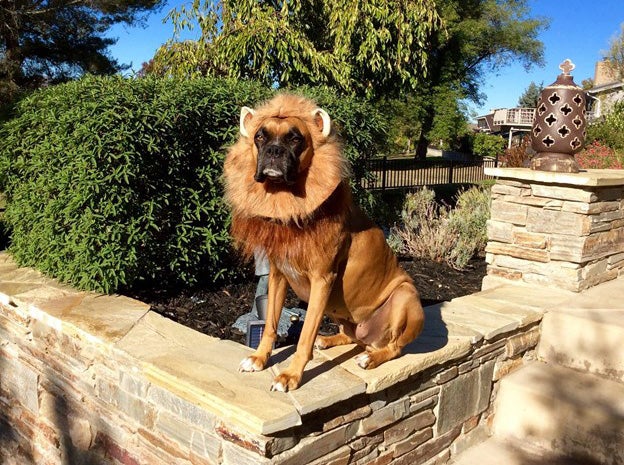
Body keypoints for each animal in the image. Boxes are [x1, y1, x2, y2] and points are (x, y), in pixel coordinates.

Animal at [223, 94, 424, 392]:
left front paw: (290, 376)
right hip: (343, 314)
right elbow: (270, 324)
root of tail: (370, 338)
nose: (273, 151)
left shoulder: (322, 280)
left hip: (404, 296)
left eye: (295, 138)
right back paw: (328, 340)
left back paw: (370, 358)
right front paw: (259, 358)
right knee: (351, 336)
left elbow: (304, 336)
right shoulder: (278, 276)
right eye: (260, 136)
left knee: (394, 348)